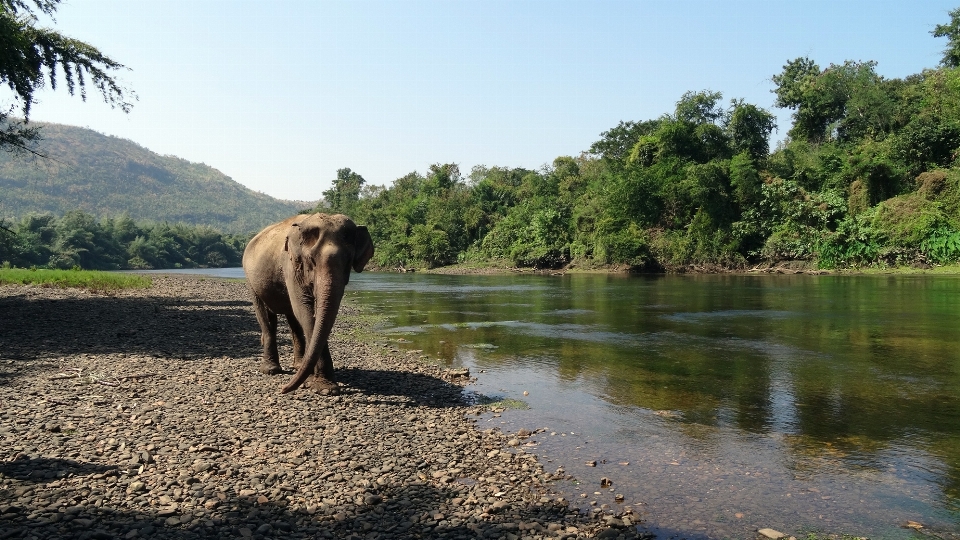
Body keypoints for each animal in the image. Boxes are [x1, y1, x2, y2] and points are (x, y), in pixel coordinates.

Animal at [242, 213, 374, 394]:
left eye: (348, 261)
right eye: (312, 260)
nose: (283, 389)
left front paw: (321, 385)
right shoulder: (290, 265)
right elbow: (304, 309)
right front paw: (324, 388)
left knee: (292, 319)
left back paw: (298, 366)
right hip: (251, 280)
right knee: (265, 315)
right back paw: (271, 370)